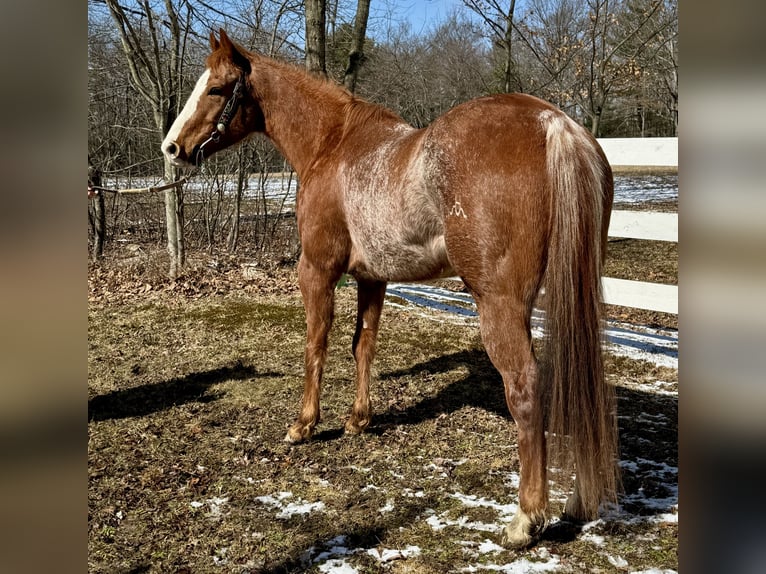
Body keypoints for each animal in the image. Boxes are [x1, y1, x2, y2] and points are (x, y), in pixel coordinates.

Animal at [162, 29, 617, 548]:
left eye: (217, 89)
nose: (172, 147)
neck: (333, 144)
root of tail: (553, 123)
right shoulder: (371, 277)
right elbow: (363, 345)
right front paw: (358, 419)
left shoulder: (316, 270)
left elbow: (316, 344)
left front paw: (304, 424)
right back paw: (580, 502)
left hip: (500, 305)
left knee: (525, 386)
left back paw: (526, 517)